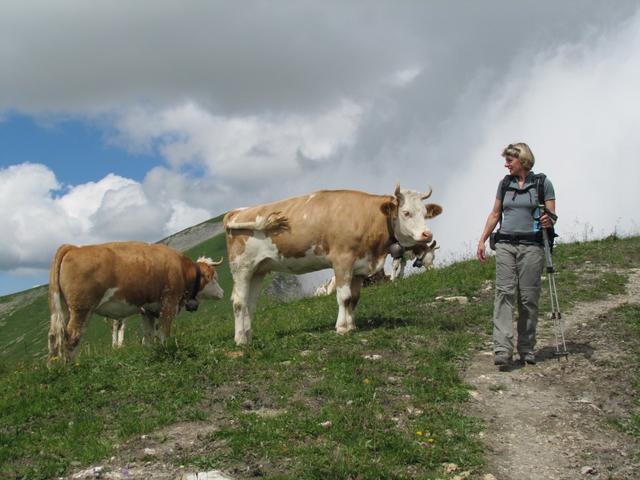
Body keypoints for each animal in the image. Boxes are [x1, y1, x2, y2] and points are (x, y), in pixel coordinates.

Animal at [47, 242, 222, 366]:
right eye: (214, 277)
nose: (222, 293)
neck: (181, 268)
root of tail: (72, 248)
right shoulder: (169, 303)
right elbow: (163, 332)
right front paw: (166, 349)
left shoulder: (148, 310)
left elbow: (149, 334)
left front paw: (151, 352)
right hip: (81, 309)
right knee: (72, 336)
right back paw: (69, 367)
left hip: (61, 309)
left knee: (54, 335)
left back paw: (53, 368)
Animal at [224, 184, 440, 344]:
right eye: (406, 213)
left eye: (424, 213)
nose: (427, 234)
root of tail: (237, 211)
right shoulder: (342, 260)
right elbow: (344, 297)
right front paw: (342, 327)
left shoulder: (360, 267)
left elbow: (354, 298)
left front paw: (352, 326)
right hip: (241, 266)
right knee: (239, 301)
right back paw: (240, 340)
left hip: (258, 269)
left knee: (250, 303)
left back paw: (248, 336)